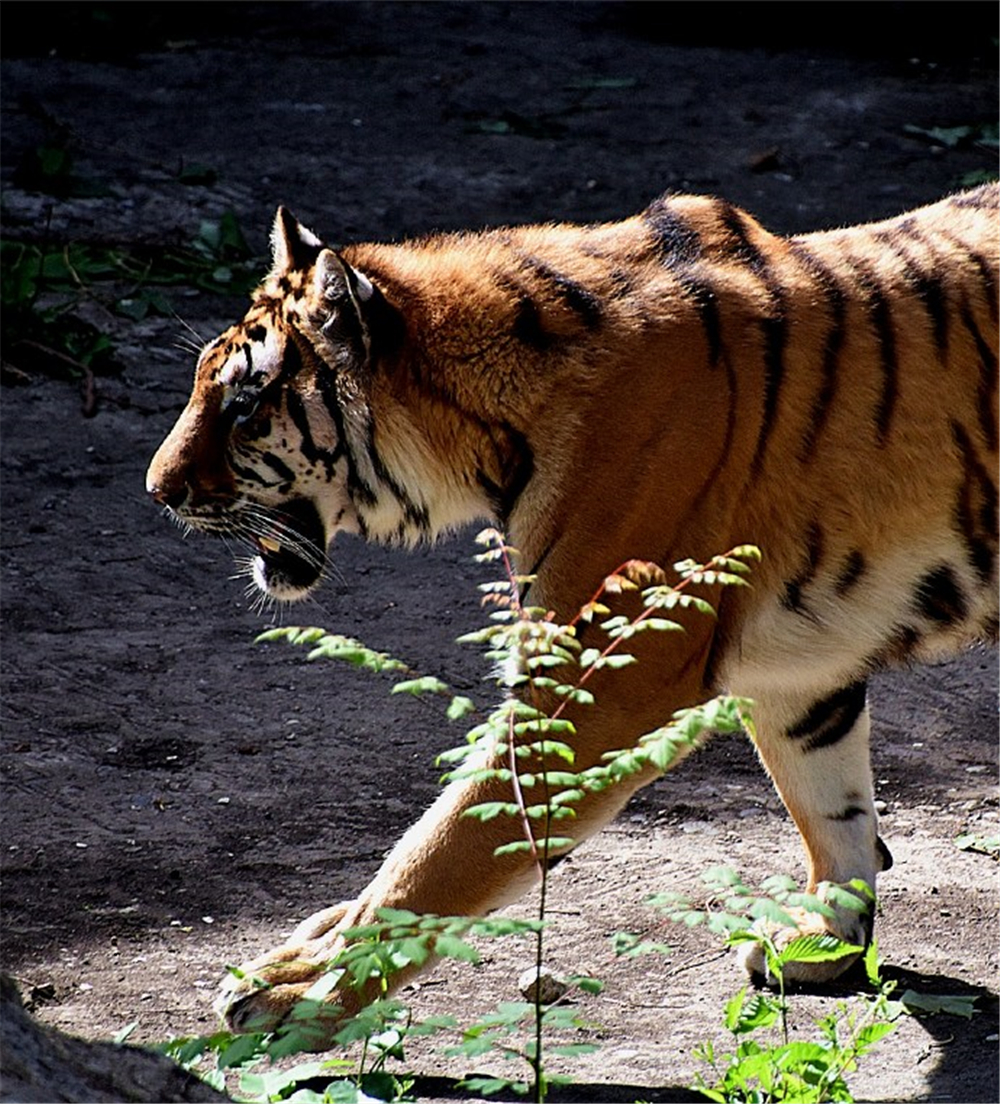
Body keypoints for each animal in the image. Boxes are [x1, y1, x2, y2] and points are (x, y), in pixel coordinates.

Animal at [144, 181, 993, 1042]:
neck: (486, 430)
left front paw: (309, 993)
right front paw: (828, 938)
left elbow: (445, 849)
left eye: (245, 409)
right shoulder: (805, 663)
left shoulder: (602, 683)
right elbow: (834, 805)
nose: (156, 490)